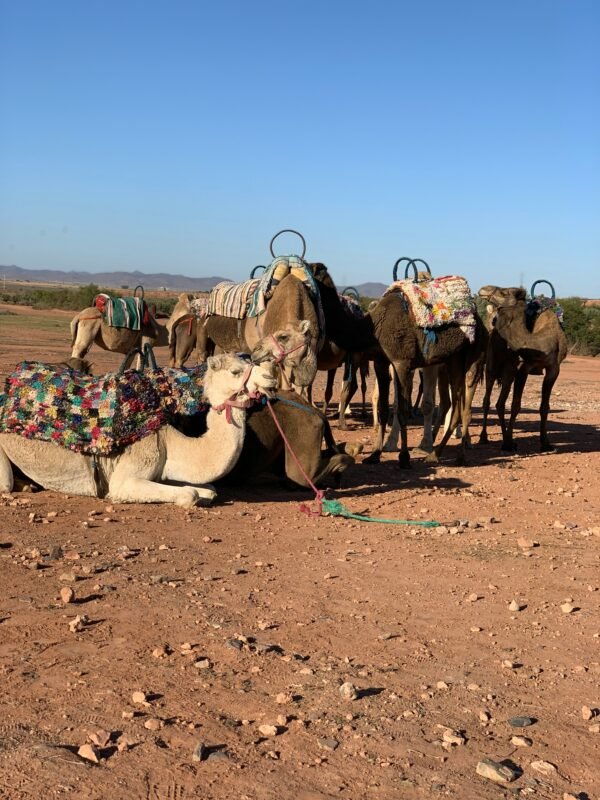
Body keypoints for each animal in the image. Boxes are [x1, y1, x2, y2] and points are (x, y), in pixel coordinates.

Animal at [0, 354, 276, 506]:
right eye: (236, 371)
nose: (271, 377)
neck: (168, 441)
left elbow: (209, 491)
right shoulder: (124, 479)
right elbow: (190, 494)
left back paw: (28, 484)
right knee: (5, 484)